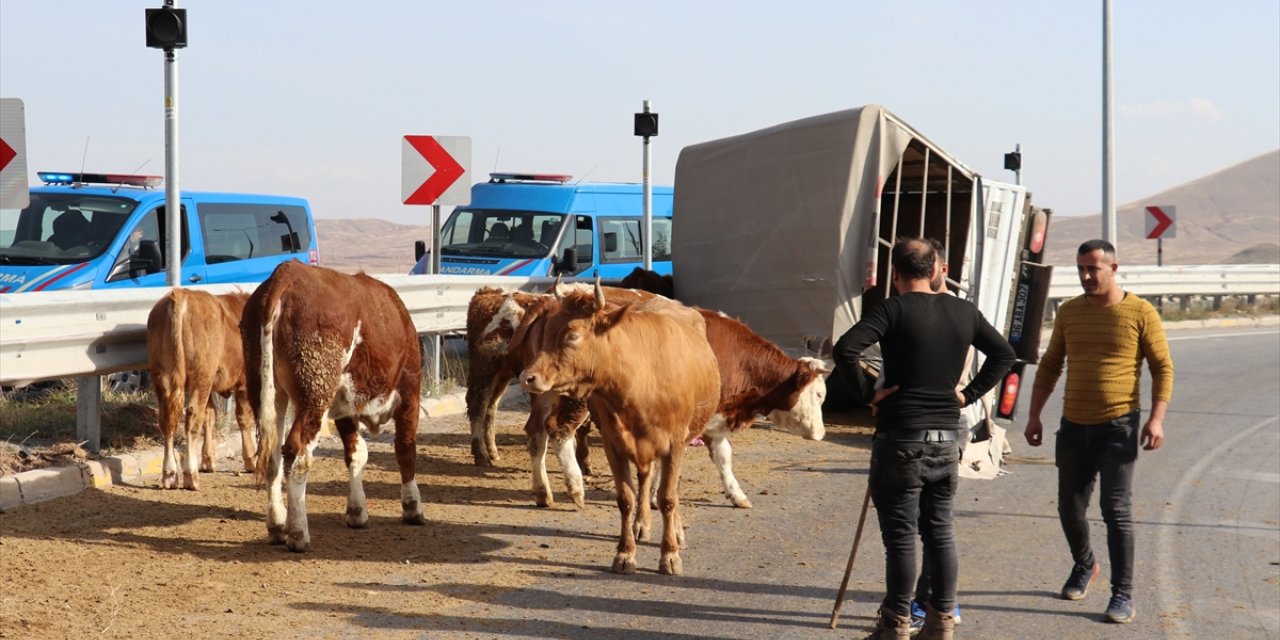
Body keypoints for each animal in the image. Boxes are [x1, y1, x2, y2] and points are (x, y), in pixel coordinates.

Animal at [147, 289, 257, 488]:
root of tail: (180, 296)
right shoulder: (243, 381)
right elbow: (243, 418)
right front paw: (251, 459)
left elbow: (210, 416)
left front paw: (208, 460)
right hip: (201, 376)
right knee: (192, 416)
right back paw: (191, 475)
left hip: (162, 375)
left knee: (168, 419)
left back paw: (170, 474)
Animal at [238, 259, 422, 550]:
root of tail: (287, 273)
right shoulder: (410, 390)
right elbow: (405, 448)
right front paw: (412, 506)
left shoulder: (344, 406)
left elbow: (356, 453)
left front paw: (357, 511)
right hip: (315, 395)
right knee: (297, 453)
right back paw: (298, 534)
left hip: (268, 390)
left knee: (272, 456)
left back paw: (277, 525)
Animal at [519, 285, 721, 576]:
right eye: (547, 332)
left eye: (572, 335)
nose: (527, 377)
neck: (639, 379)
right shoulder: (614, 443)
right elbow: (626, 498)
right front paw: (625, 554)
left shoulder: (674, 444)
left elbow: (668, 497)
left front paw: (669, 554)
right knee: (646, 477)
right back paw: (641, 524)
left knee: (667, 486)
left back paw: (675, 530)